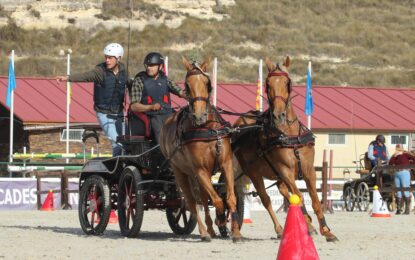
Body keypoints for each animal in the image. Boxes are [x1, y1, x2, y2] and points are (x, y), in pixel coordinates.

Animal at [160, 56, 244, 242]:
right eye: (187, 84)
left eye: (207, 83)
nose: (199, 116)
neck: (208, 130)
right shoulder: (200, 170)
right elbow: (217, 201)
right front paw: (221, 220)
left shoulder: (226, 164)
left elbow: (230, 198)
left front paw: (235, 232)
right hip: (181, 172)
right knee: (192, 202)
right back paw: (205, 232)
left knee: (203, 199)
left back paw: (211, 229)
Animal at [234, 57, 338, 242]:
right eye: (267, 84)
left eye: (287, 82)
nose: (278, 115)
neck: (290, 135)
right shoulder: (286, 171)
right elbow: (300, 197)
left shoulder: (309, 170)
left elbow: (314, 200)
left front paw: (326, 230)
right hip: (254, 173)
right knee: (266, 199)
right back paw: (280, 229)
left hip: (276, 174)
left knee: (284, 192)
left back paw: (307, 223)